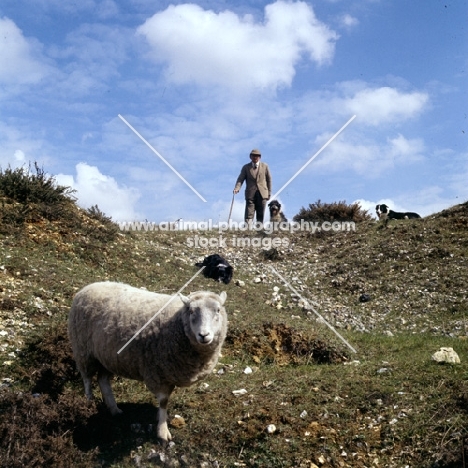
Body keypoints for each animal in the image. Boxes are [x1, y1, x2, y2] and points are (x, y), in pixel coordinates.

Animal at [68, 282, 229, 442]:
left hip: (108, 357)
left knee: (102, 380)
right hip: (83, 350)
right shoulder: (157, 372)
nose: (204, 335)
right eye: (191, 311)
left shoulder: (168, 373)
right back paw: (88, 402)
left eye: (218, 310)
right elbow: (163, 401)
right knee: (87, 378)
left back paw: (114, 409)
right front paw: (162, 431)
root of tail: (88, 287)